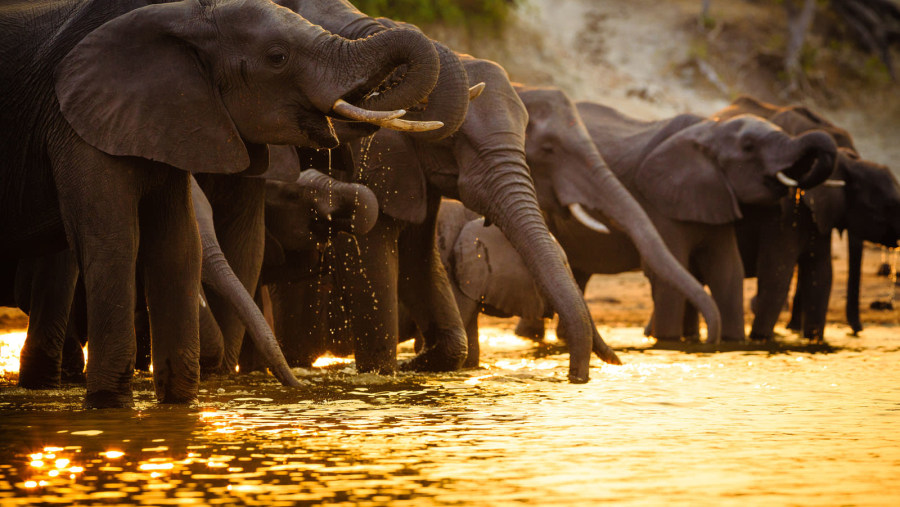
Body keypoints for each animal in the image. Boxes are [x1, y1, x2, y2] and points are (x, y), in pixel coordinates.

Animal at [0, 0, 446, 408]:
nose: (301, 389)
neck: (181, 15)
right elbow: (113, 245)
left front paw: (180, 408)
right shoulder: (74, 125)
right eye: (277, 58)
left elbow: (179, 247)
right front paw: (110, 408)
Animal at [512, 97, 836, 346]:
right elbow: (671, 273)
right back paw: (531, 338)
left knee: (577, 272)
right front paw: (669, 343)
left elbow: (728, 270)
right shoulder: (660, 202)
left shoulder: (715, 197)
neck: (708, 129)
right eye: (748, 146)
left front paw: (731, 344)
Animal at [712, 96, 900, 342]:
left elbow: (821, 273)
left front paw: (809, 338)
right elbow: (778, 274)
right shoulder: (785, 212)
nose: (858, 331)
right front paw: (764, 337)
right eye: (881, 209)